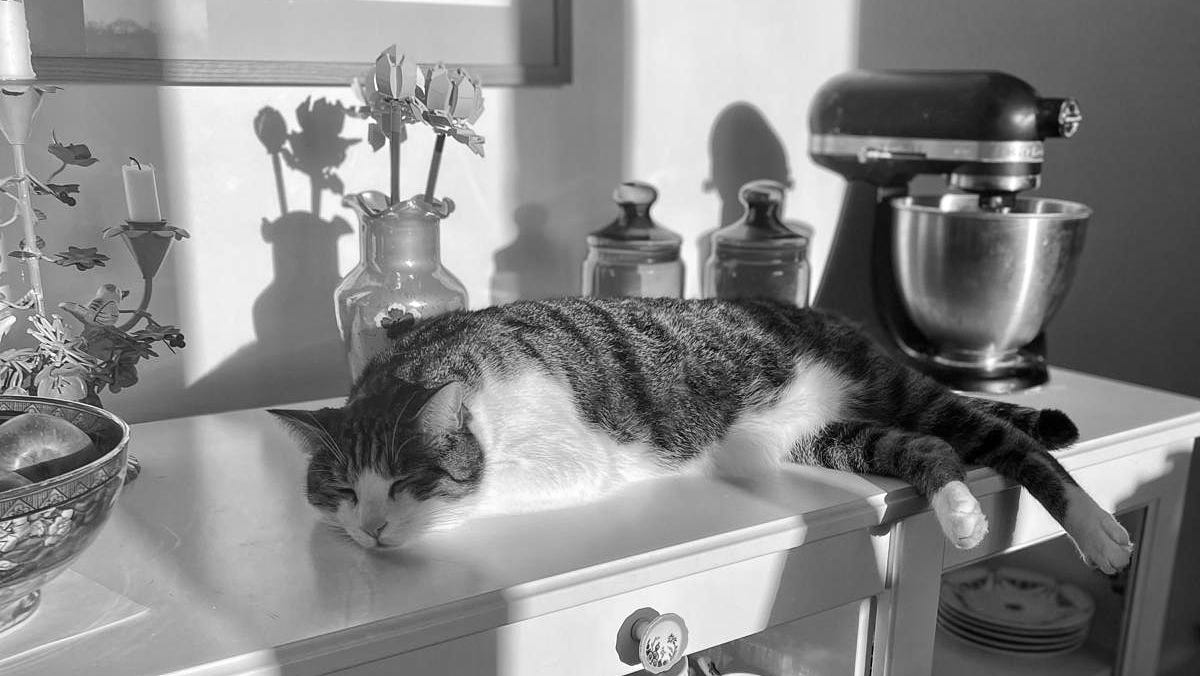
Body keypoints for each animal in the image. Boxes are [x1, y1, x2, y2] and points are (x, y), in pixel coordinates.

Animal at [272, 296, 1132, 571]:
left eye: (407, 481)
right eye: (341, 489)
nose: (372, 530)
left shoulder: (571, 458)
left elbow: (484, 491)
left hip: (897, 388)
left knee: (1003, 440)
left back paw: (1098, 530)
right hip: (825, 437)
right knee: (932, 449)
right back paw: (960, 515)